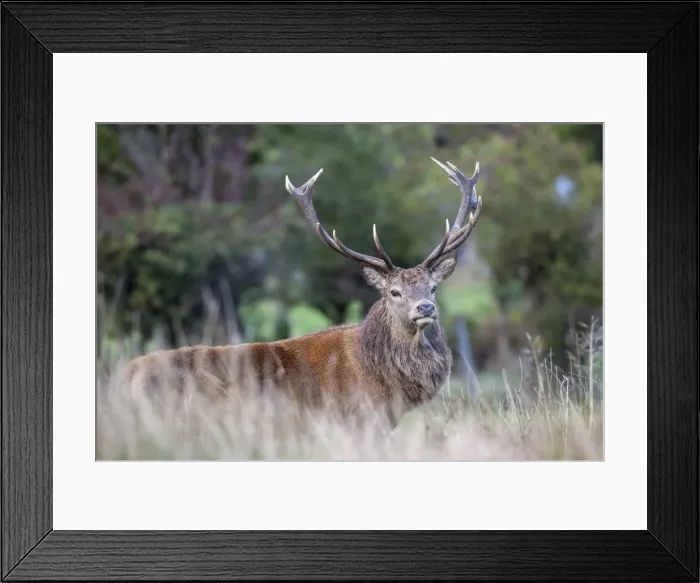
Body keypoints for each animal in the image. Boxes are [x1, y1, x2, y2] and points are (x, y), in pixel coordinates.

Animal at [124, 158, 483, 429]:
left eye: (433, 287)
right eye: (394, 292)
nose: (425, 308)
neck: (383, 379)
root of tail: (124, 378)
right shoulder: (354, 420)